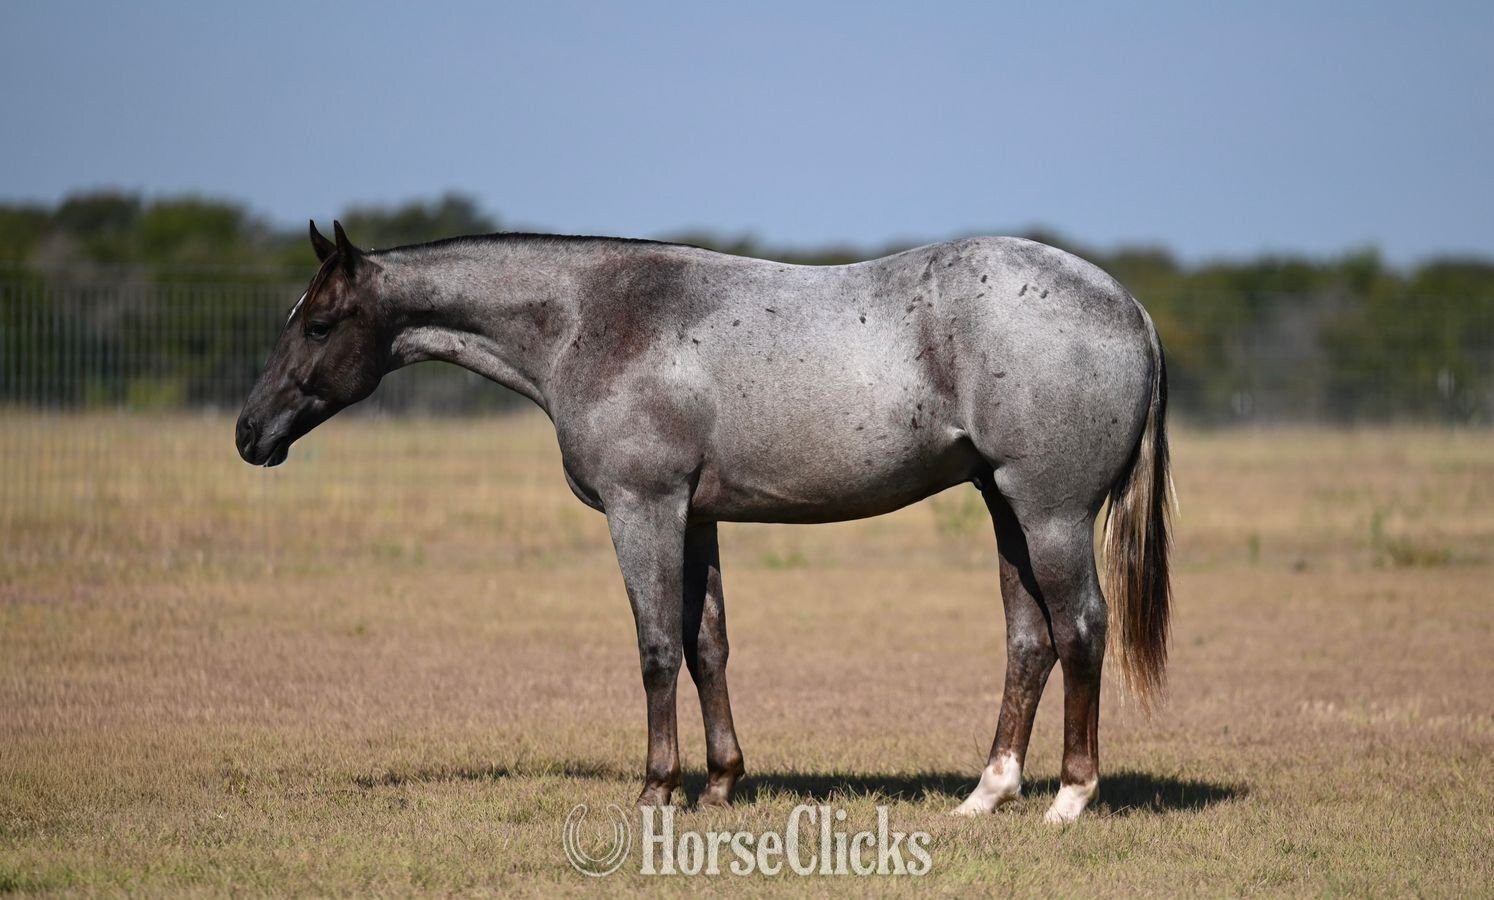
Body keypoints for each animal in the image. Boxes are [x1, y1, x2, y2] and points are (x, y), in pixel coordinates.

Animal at [236, 220, 1172, 823]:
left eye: (318, 324)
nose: (250, 433)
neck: (593, 320)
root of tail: (1130, 306)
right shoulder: (696, 519)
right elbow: (706, 644)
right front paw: (721, 784)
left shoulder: (642, 508)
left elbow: (655, 646)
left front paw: (657, 788)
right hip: (1005, 506)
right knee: (1030, 640)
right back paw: (986, 795)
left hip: (1049, 513)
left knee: (1081, 630)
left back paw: (1069, 799)